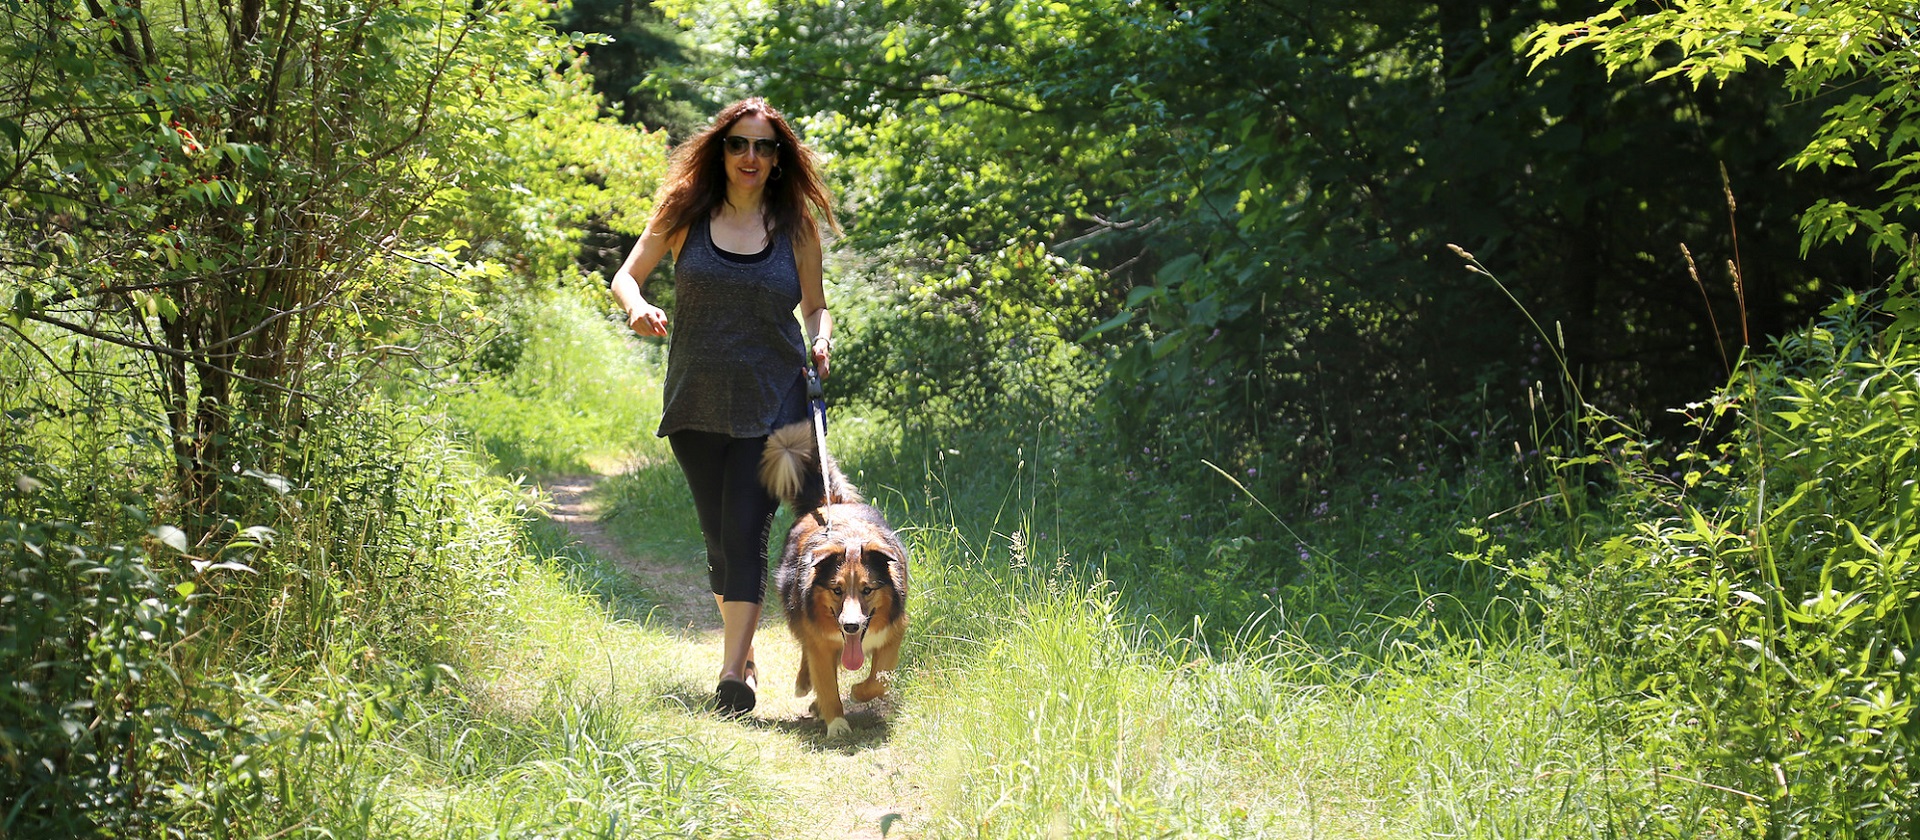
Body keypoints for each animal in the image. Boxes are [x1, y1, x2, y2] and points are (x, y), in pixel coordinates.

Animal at [756, 420, 906, 736]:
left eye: (867, 590)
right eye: (837, 590)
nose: (850, 626)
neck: (850, 539)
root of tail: (830, 504)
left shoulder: (894, 630)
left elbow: (880, 678)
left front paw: (859, 691)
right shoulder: (821, 642)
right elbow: (825, 681)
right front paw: (836, 722)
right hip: (797, 611)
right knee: (804, 648)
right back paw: (804, 685)